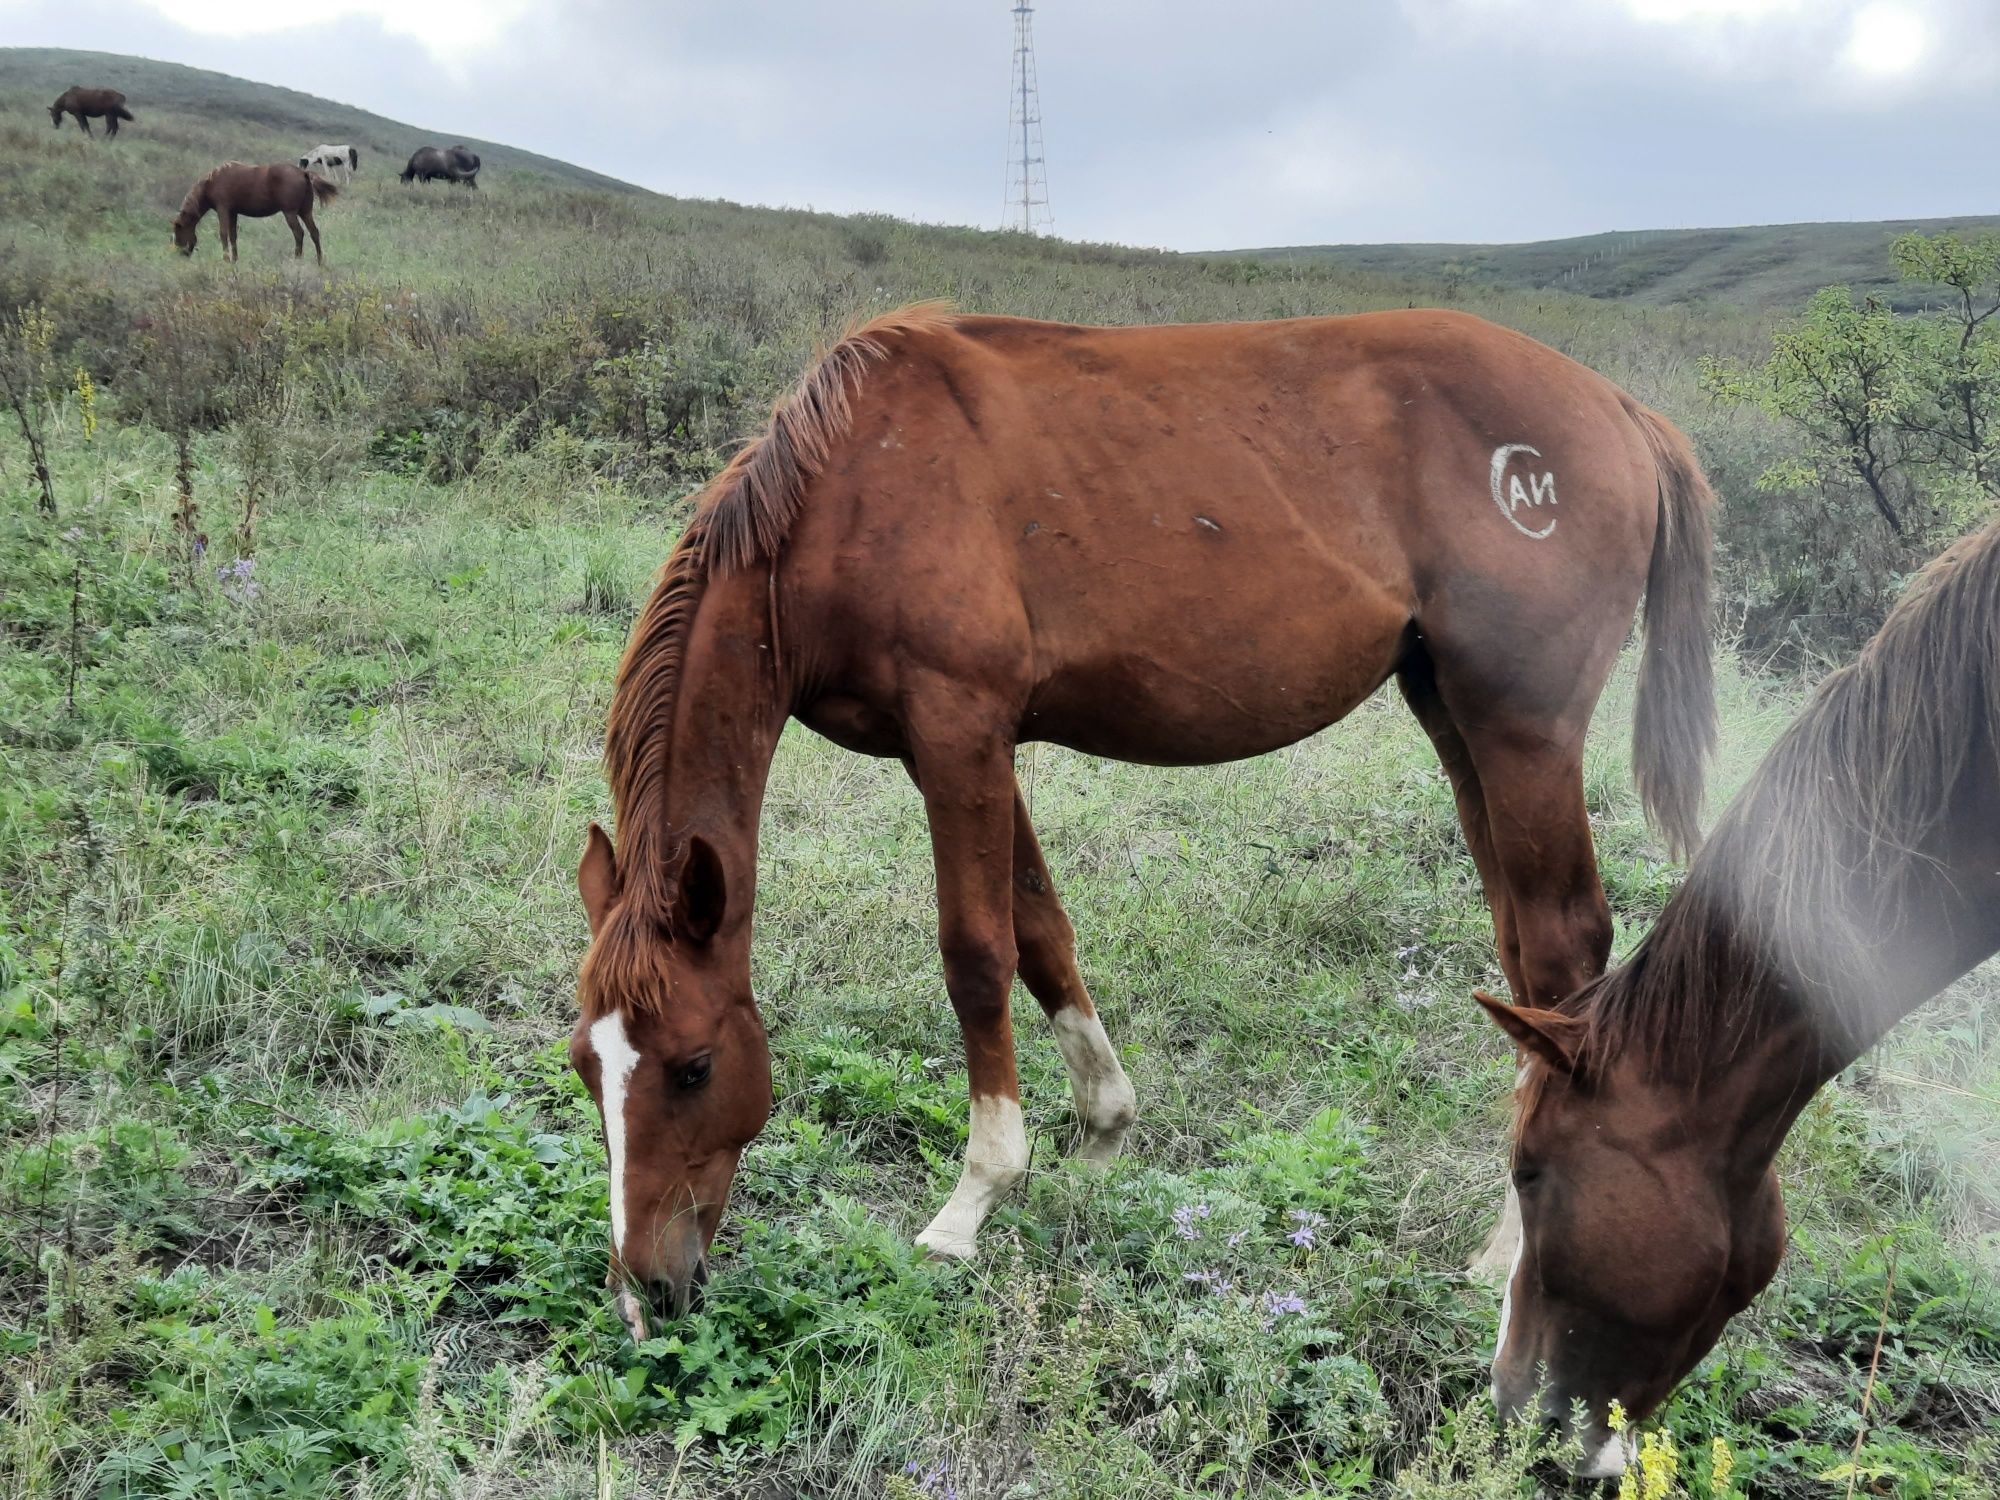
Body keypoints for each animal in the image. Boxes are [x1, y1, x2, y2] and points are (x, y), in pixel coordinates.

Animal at [172, 167, 336, 268]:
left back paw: (297, 259)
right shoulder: (233, 212)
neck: (211, 182)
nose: (182, 254)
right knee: (314, 233)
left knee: (299, 233)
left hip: (290, 213)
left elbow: (223, 234)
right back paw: (320, 261)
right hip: (305, 212)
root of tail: (304, 173)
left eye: (177, 233)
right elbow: (233, 236)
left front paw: (226, 259)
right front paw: (234, 260)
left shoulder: (223, 209)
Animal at [568, 302, 1720, 1336]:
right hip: (1454, 717)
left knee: (1564, 950)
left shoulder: (957, 733)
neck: (847, 492)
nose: (647, 1292)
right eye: (586, 1063)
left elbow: (975, 955)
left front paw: (972, 1201)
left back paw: (1509, 1252)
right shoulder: (969, 748)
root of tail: (1621, 412)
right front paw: (1100, 1137)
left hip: (1520, 732)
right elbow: (1041, 931)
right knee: (1525, 958)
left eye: (693, 1067)